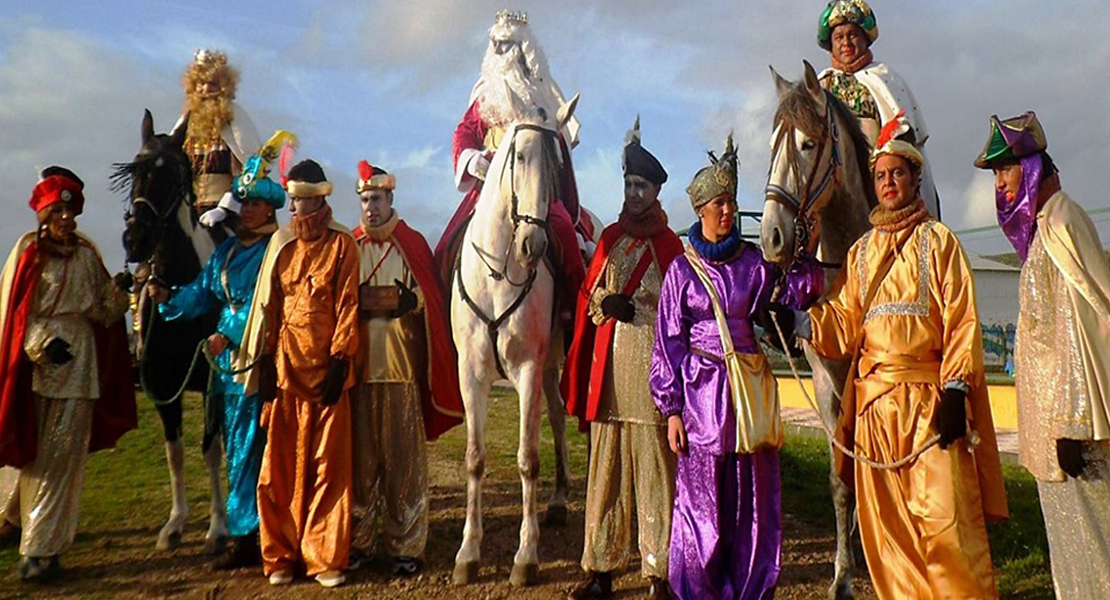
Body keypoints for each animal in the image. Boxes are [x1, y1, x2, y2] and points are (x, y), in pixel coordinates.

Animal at [114, 109, 229, 550]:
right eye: (135, 170)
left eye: (173, 172)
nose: (135, 240)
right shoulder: (163, 386)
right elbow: (175, 453)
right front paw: (175, 523)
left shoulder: (214, 381)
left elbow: (211, 449)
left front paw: (217, 525)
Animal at [450, 93, 581, 585]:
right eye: (519, 156)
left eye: (558, 163)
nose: (533, 245)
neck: (498, 274)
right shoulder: (471, 373)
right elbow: (475, 457)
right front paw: (468, 551)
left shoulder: (527, 367)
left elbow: (528, 458)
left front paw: (526, 555)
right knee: (559, 414)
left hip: (549, 361)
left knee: (558, 418)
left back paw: (559, 501)